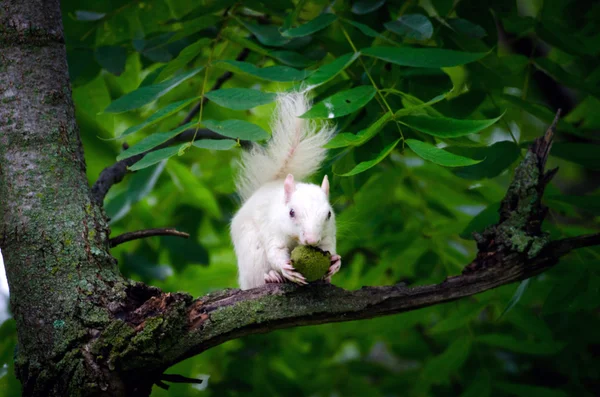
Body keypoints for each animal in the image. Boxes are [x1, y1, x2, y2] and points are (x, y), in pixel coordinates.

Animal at [231, 91, 342, 290]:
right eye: (291, 212)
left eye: (329, 214)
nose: (312, 241)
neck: (295, 238)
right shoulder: (272, 230)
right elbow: (276, 252)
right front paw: (285, 269)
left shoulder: (328, 234)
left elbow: (329, 247)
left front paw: (336, 263)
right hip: (252, 254)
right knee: (257, 277)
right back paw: (271, 277)